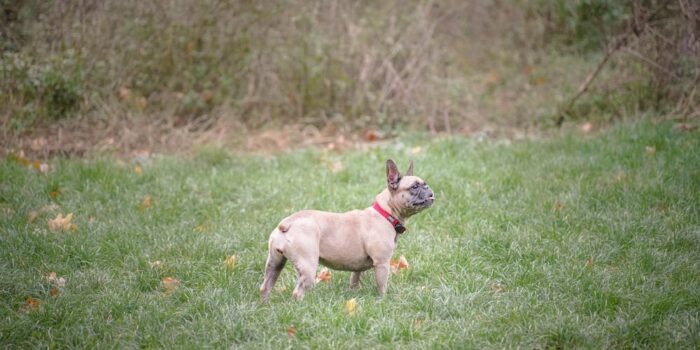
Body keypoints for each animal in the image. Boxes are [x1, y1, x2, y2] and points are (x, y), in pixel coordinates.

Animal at [258, 159, 432, 300]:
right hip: (307, 265)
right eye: (414, 186)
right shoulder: (382, 263)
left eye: (424, 183)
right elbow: (382, 286)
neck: (385, 213)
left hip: (275, 262)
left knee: (265, 286)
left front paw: (354, 294)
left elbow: (354, 280)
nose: (429, 189)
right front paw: (383, 300)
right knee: (297, 292)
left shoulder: (358, 267)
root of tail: (287, 223)